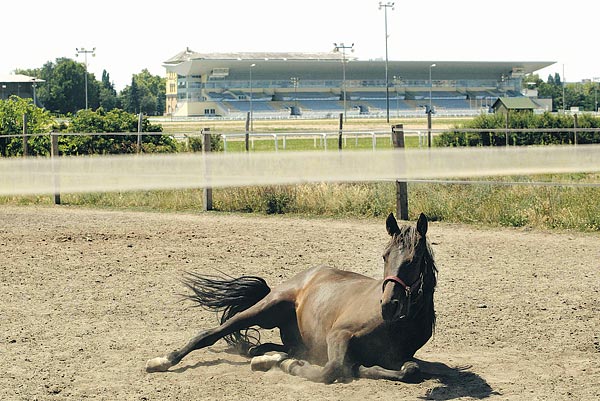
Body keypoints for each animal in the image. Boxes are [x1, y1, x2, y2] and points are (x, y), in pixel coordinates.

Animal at [145, 211, 436, 382]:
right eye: (385, 256)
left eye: (414, 259)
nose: (388, 305)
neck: (395, 325)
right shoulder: (338, 335)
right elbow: (332, 369)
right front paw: (293, 367)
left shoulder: (396, 357)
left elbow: (409, 370)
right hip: (265, 310)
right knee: (211, 333)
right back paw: (163, 361)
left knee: (267, 348)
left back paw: (266, 358)